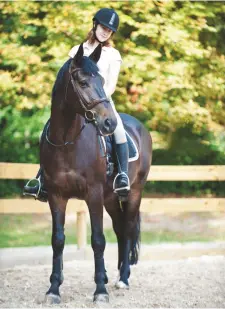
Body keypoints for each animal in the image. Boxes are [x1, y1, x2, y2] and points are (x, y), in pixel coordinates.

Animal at [41, 43, 152, 304]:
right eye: (82, 82)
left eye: (102, 80)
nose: (109, 123)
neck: (67, 141)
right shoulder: (56, 195)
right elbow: (57, 240)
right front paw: (53, 289)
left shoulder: (93, 195)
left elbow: (98, 240)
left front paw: (100, 290)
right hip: (110, 198)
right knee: (121, 230)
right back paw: (117, 275)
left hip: (133, 193)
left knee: (128, 229)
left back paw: (123, 279)